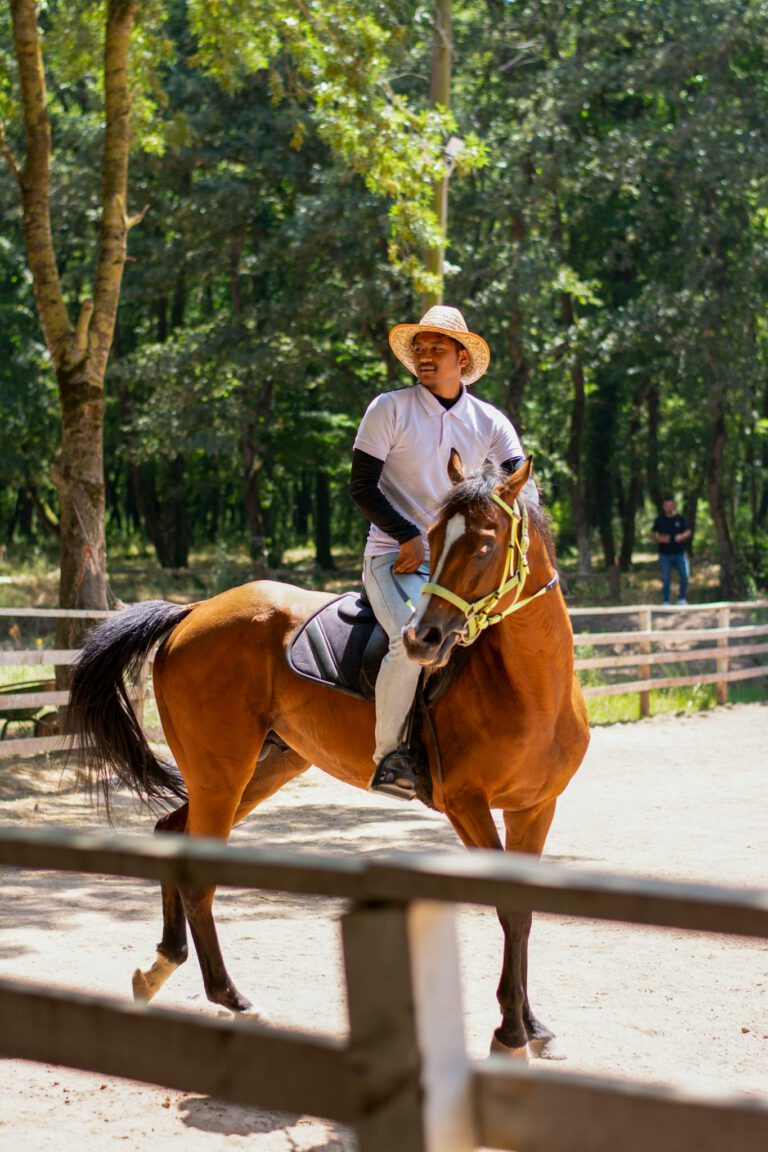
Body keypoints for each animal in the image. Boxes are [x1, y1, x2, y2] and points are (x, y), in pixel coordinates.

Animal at [69, 455, 589, 1058]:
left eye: (485, 545)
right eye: (434, 537)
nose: (423, 639)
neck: (528, 686)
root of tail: (195, 612)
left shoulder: (537, 806)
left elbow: (523, 913)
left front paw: (532, 1026)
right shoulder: (467, 804)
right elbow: (508, 910)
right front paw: (508, 1034)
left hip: (263, 768)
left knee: (172, 832)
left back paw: (161, 967)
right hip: (222, 773)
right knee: (199, 875)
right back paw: (233, 999)